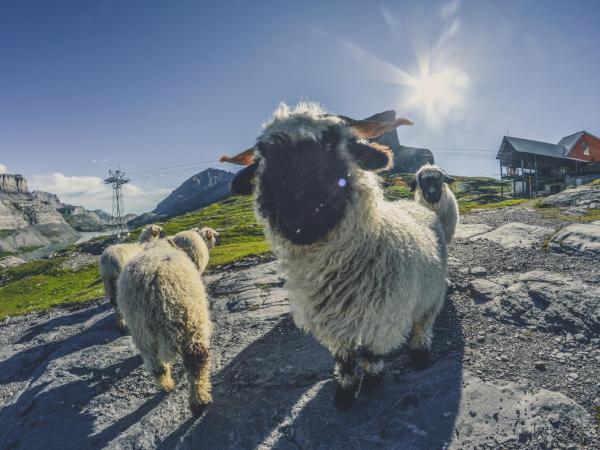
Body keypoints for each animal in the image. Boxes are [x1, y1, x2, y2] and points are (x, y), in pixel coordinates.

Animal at [116, 230, 212, 416]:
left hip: (141, 329)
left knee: (156, 364)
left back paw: (166, 386)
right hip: (191, 318)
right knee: (196, 360)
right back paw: (199, 401)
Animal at [223, 102, 448, 408]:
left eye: (332, 144)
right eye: (263, 159)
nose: (296, 218)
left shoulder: (384, 319)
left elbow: (371, 354)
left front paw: (372, 381)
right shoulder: (333, 325)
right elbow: (345, 359)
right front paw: (345, 392)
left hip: (432, 293)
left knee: (424, 322)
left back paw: (420, 352)